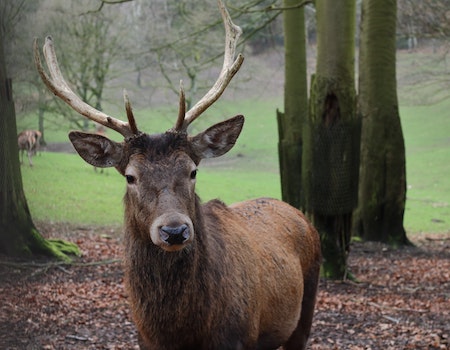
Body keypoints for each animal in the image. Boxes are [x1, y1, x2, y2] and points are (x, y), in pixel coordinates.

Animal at [34, 1, 324, 348]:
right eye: (130, 176)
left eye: (193, 170)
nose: (174, 230)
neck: (180, 331)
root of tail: (301, 215)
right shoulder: (145, 340)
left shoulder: (237, 337)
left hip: (306, 306)